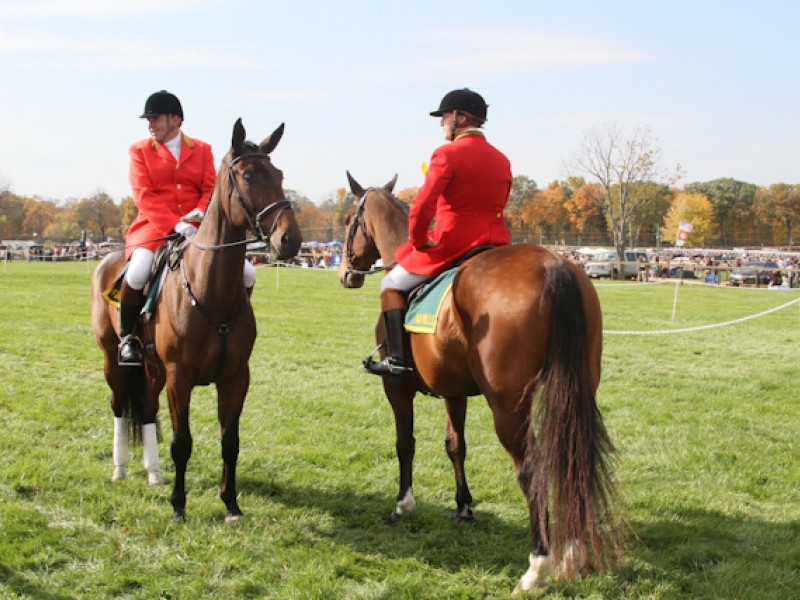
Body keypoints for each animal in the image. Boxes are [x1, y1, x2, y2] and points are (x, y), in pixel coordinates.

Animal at [91, 119, 301, 522]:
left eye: (281, 174)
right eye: (248, 175)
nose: (290, 240)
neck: (211, 291)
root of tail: (109, 258)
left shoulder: (236, 377)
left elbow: (230, 441)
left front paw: (231, 503)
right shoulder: (180, 376)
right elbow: (181, 442)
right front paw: (178, 505)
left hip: (154, 369)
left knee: (146, 408)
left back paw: (154, 474)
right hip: (114, 358)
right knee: (120, 404)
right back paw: (121, 468)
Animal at [339, 173, 622, 592]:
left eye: (348, 221)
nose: (347, 274)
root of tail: (554, 266)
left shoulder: (397, 389)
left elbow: (405, 444)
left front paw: (402, 505)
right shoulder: (454, 391)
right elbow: (456, 445)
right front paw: (464, 507)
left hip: (508, 407)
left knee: (532, 469)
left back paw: (537, 566)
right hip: (578, 391)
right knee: (572, 457)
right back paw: (572, 553)